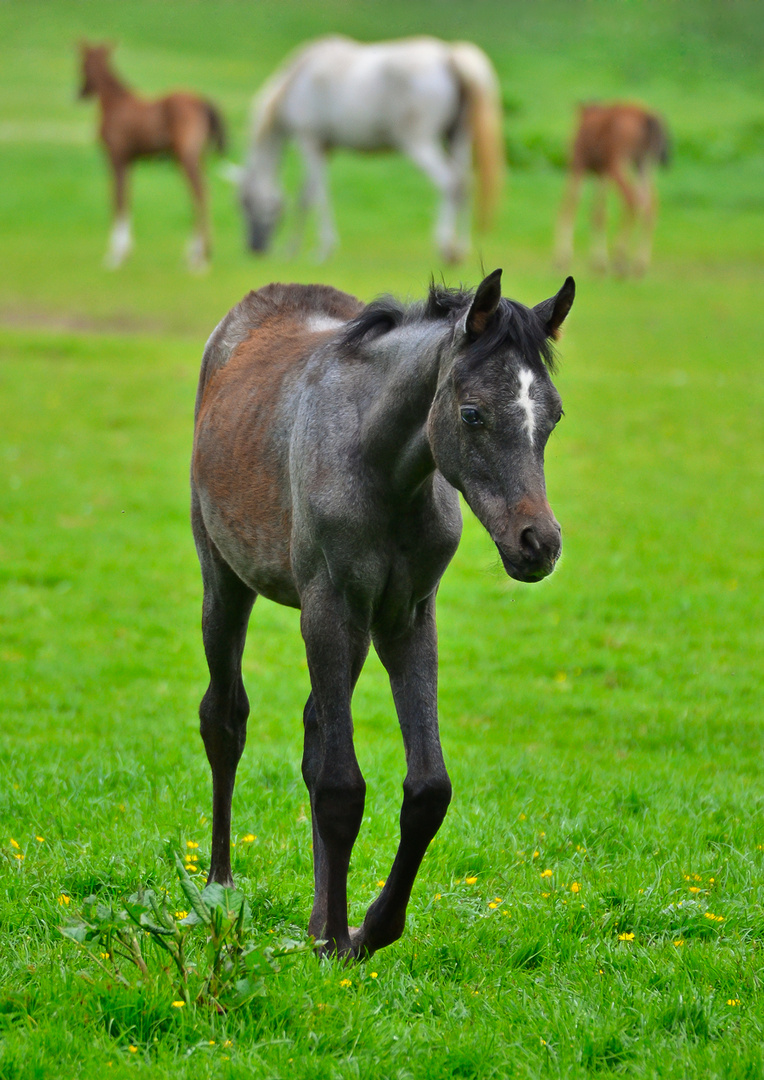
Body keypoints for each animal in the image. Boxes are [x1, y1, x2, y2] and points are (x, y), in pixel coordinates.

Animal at [78, 43, 225, 270]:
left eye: (82, 64)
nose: (80, 93)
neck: (113, 103)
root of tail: (202, 101)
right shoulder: (128, 162)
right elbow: (127, 198)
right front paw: (125, 252)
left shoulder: (116, 158)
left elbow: (117, 199)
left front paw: (115, 256)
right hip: (199, 159)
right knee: (201, 194)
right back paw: (197, 254)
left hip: (186, 158)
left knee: (199, 193)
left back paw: (199, 259)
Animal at [190, 274, 574, 959]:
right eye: (472, 413)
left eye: (552, 416)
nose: (539, 544)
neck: (385, 468)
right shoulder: (329, 607)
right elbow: (341, 785)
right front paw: (340, 938)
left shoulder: (406, 618)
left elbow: (426, 790)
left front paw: (364, 927)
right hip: (224, 581)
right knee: (224, 720)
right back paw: (220, 887)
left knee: (315, 730)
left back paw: (317, 915)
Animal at [235, 35, 505, 263]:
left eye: (245, 203)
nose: (254, 247)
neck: (297, 80)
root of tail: (448, 56)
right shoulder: (324, 149)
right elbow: (306, 196)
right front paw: (292, 249)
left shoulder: (309, 142)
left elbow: (317, 195)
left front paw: (322, 250)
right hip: (456, 139)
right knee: (465, 184)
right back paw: (460, 249)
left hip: (419, 142)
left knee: (450, 183)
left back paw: (445, 248)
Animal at [557, 103, 669, 276]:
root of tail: (647, 117)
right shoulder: (601, 175)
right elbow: (598, 214)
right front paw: (598, 262)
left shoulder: (578, 164)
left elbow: (569, 206)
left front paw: (561, 259)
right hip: (643, 165)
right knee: (650, 205)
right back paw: (639, 264)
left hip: (618, 164)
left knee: (632, 200)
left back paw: (620, 260)